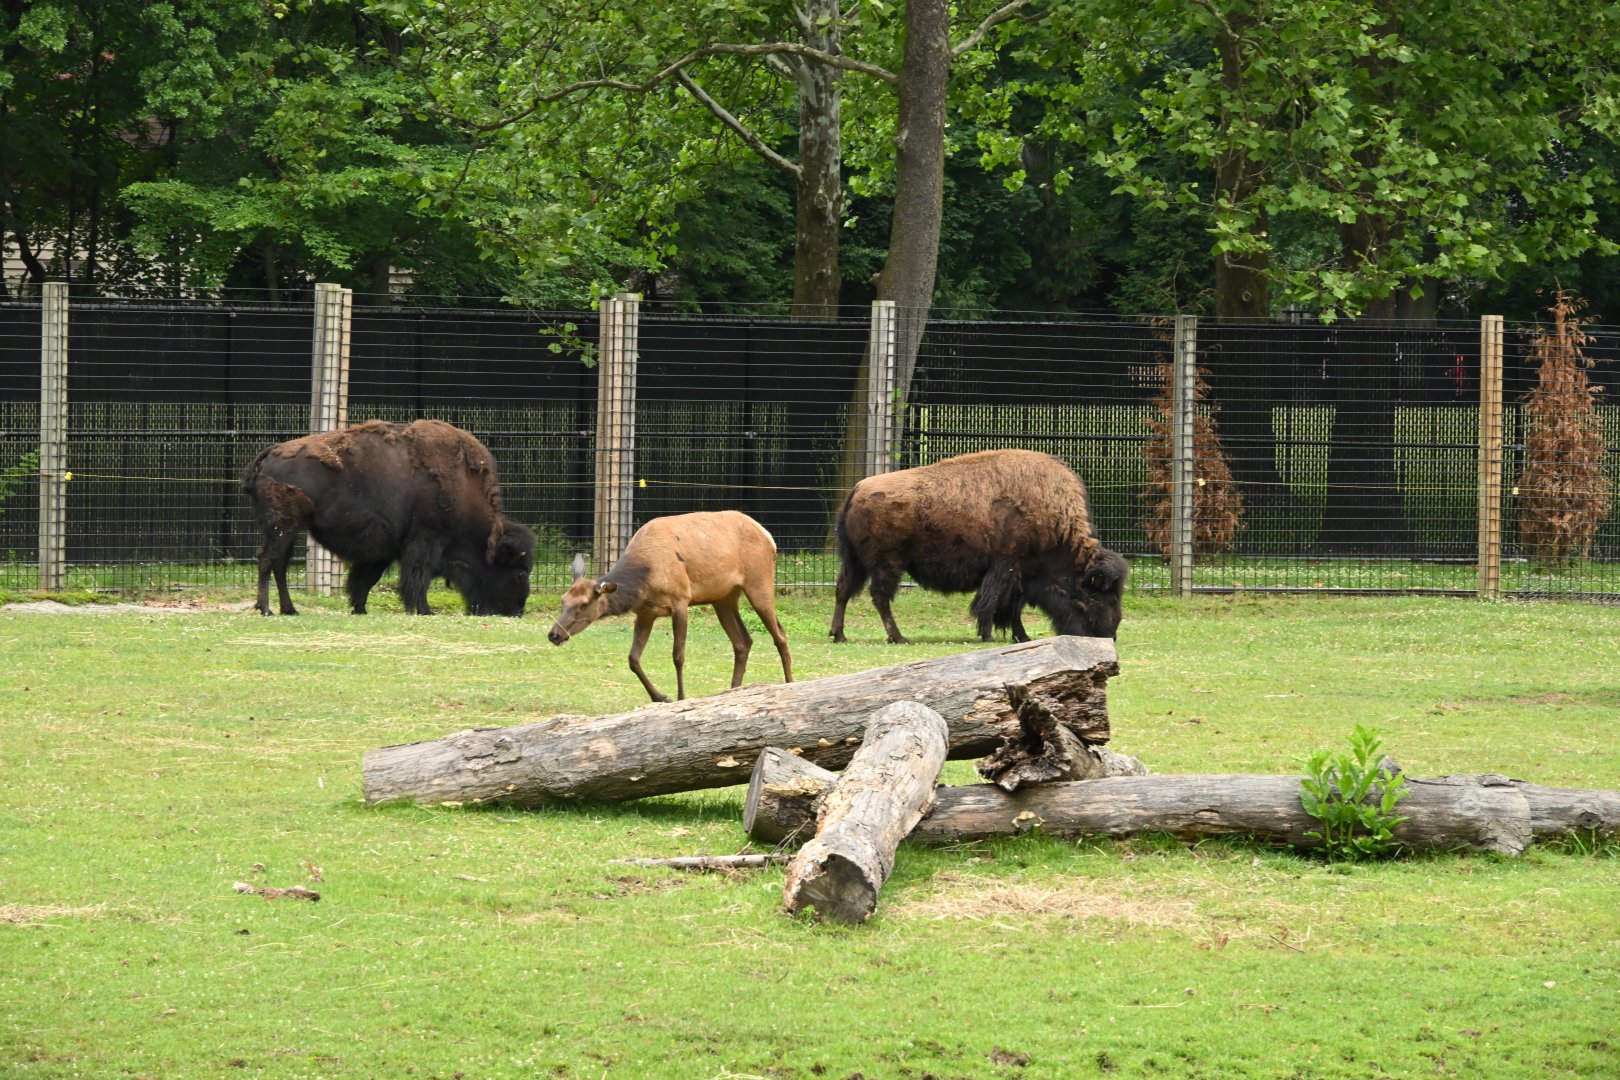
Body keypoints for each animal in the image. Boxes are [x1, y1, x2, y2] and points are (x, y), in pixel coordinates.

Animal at [241, 418, 535, 616]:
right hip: (282, 527)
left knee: (279, 564)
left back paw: (289, 609)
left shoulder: (384, 549)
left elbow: (365, 579)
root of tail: (272, 452)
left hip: (288, 530)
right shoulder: (424, 541)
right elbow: (417, 577)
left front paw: (359, 608)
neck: (462, 485)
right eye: (520, 570)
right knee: (268, 560)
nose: (517, 611)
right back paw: (267, 609)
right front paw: (424, 609)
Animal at [828, 448, 1128, 644]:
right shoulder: (1007, 568)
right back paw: (898, 637)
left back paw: (839, 635)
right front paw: (989, 635)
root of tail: (857, 490)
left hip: (857, 564)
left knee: (843, 590)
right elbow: (993, 604)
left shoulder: (1019, 575)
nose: (1110, 635)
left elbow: (1011, 608)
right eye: (1103, 595)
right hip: (887, 564)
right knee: (879, 596)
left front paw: (1020, 636)